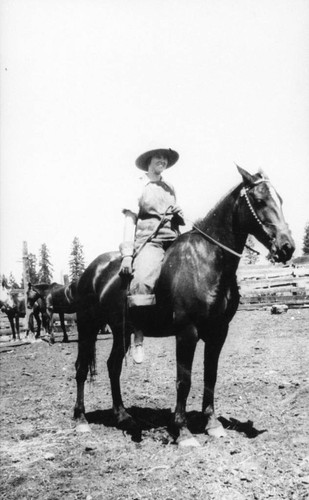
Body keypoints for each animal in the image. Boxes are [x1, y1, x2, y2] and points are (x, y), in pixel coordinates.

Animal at [72, 168, 294, 446]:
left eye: (281, 200)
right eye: (260, 200)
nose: (287, 247)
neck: (206, 260)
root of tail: (92, 270)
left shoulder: (218, 332)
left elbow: (210, 376)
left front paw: (212, 424)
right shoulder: (187, 332)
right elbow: (184, 380)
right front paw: (183, 431)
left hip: (120, 330)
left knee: (113, 367)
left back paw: (124, 417)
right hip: (87, 327)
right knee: (81, 369)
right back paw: (81, 420)